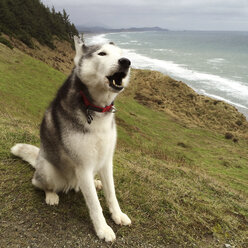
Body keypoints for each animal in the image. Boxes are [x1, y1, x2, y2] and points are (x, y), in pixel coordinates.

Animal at [11, 35, 132, 241]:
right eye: (102, 53)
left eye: (121, 54)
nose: (126, 62)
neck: (96, 109)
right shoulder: (83, 166)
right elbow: (95, 205)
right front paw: (103, 229)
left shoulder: (106, 160)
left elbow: (112, 194)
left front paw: (117, 214)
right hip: (49, 172)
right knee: (39, 183)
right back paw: (51, 195)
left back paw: (96, 183)